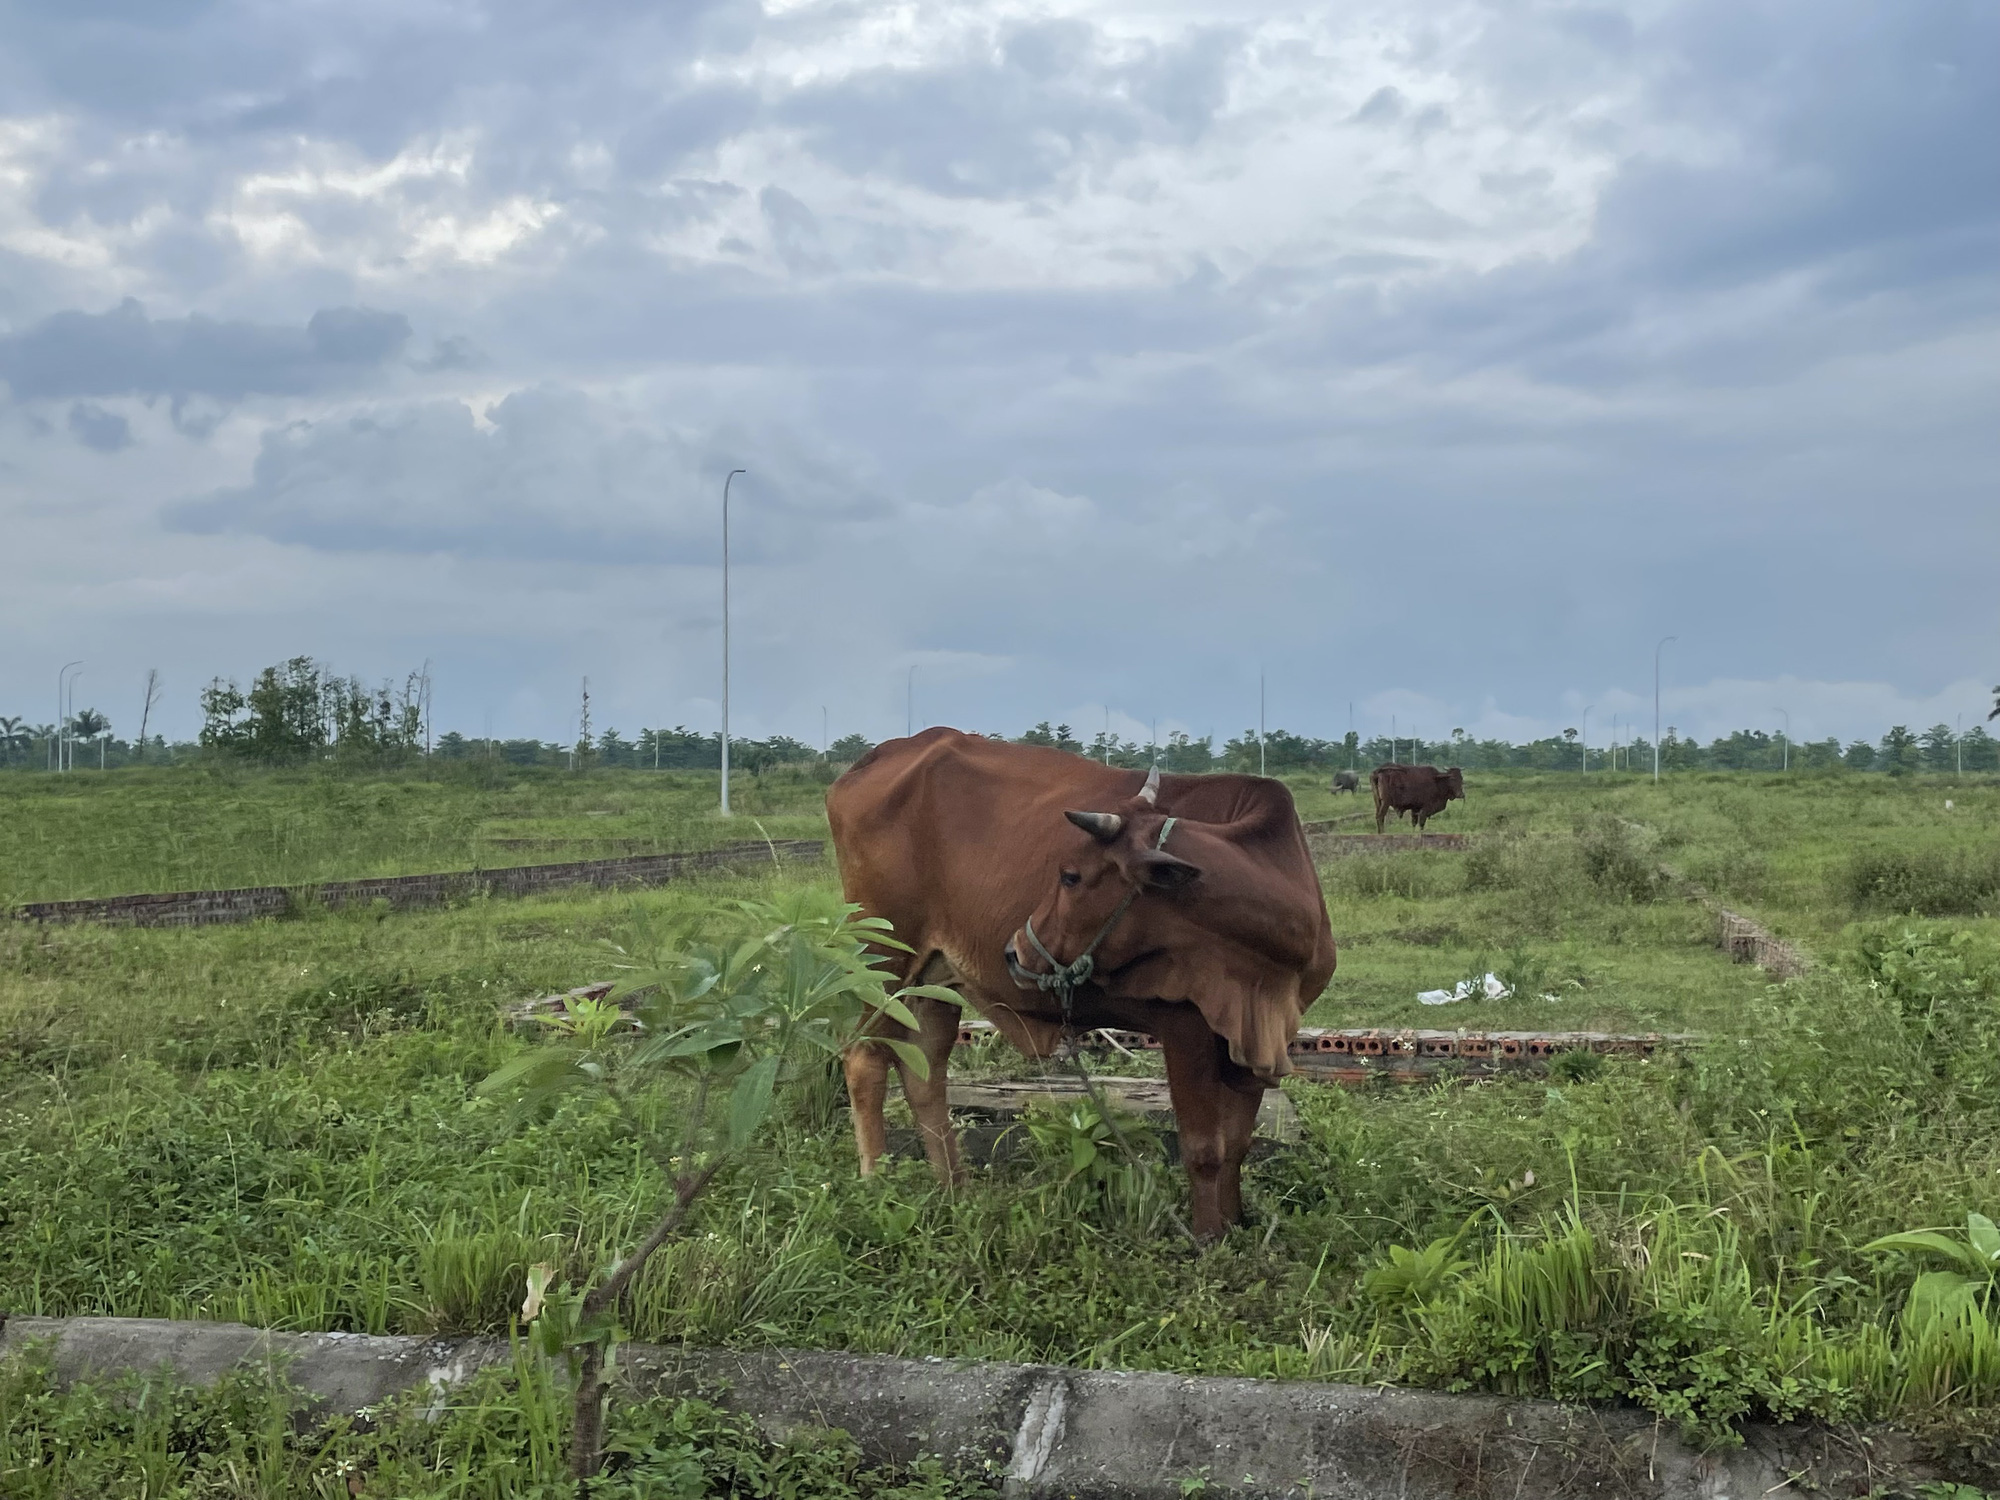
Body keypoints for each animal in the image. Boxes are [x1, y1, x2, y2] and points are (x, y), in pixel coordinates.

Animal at [820, 732, 1336, 1248]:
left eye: (1070, 876)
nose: (1014, 951)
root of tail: (882, 755)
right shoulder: (1183, 1026)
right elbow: (1204, 1149)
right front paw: (1206, 1240)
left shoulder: (1257, 1038)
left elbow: (1238, 1144)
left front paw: (1234, 1226)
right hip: (882, 957)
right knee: (864, 1058)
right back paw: (876, 1185)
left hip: (933, 976)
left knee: (925, 1066)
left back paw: (955, 1189)